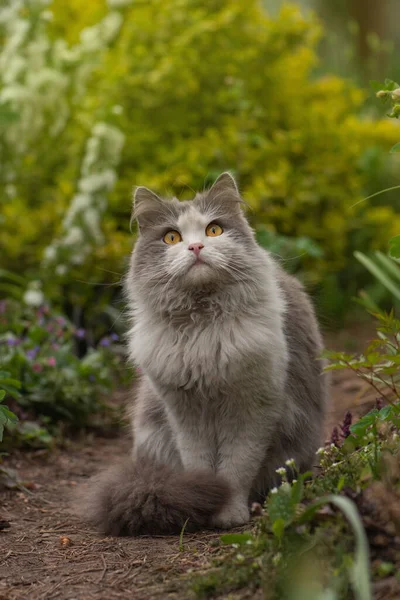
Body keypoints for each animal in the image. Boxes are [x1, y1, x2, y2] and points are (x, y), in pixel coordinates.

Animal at [81, 172, 328, 536]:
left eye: (214, 230)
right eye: (171, 237)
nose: (196, 247)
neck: (203, 327)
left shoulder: (252, 406)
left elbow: (236, 468)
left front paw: (228, 512)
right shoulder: (185, 411)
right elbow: (200, 463)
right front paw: (204, 501)